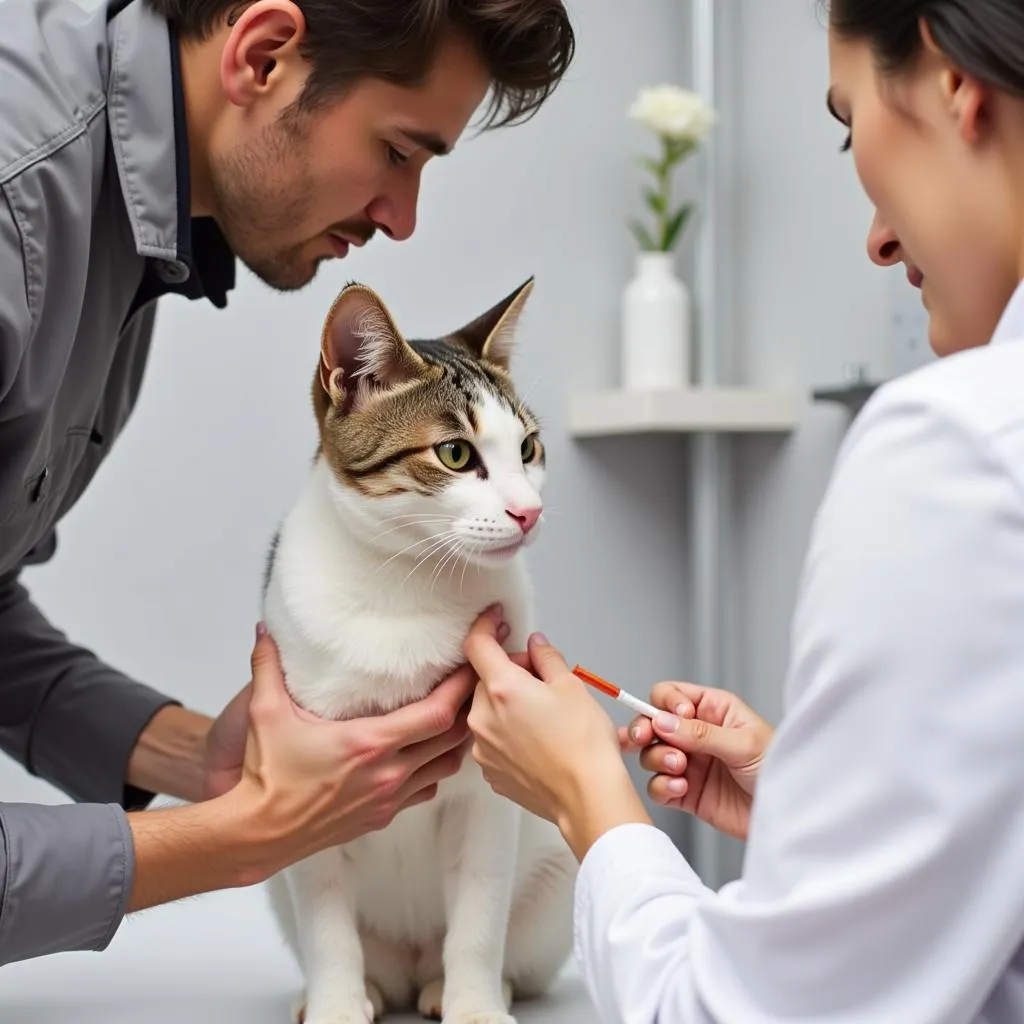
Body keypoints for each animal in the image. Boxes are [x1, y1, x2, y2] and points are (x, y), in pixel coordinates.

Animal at [262, 280, 577, 1024]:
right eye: (456, 454)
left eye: (528, 448)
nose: (528, 512)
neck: (407, 580)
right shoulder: (311, 782)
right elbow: (327, 921)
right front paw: (336, 1004)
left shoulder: (489, 794)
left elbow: (479, 915)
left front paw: (474, 1004)